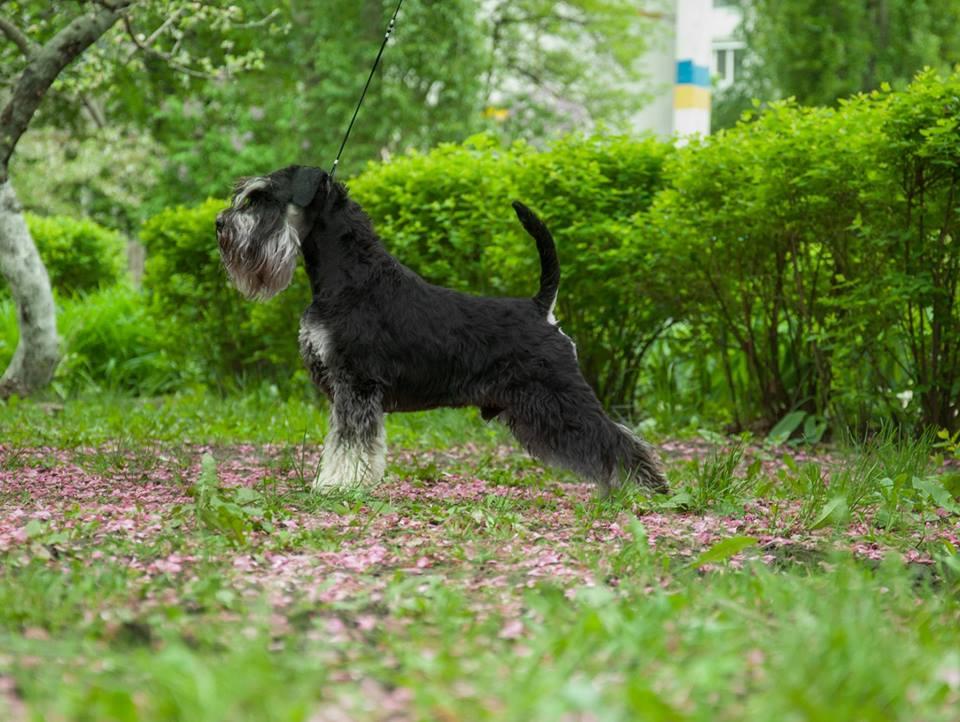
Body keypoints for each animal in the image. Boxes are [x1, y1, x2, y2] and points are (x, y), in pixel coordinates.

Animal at [216, 165, 668, 494]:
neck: (350, 276)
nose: (221, 223)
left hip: (559, 398)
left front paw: (338, 485)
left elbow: (350, 443)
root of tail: (541, 310)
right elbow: (351, 443)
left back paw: (647, 489)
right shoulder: (349, 390)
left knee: (616, 439)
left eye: (262, 198)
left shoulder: (356, 384)